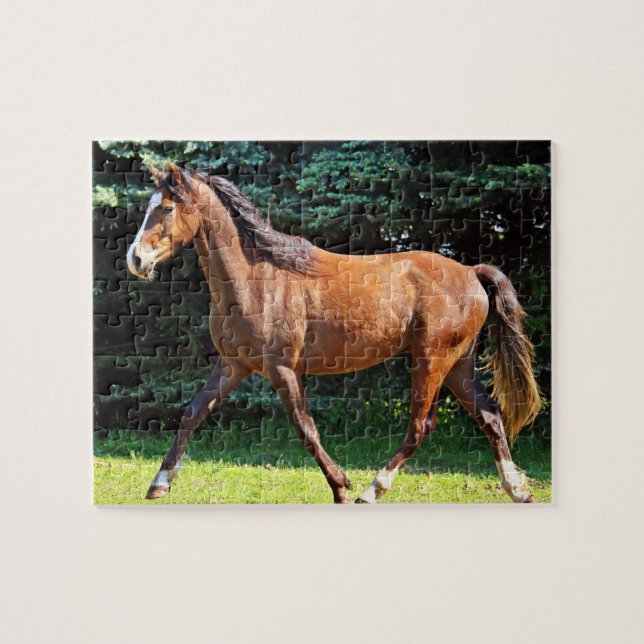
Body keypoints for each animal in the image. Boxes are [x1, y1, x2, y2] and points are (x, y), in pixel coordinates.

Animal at [126, 161, 541, 503]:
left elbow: (306, 429)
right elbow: (192, 413)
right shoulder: (234, 365)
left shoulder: (282, 368)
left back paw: (371, 492)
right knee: (490, 415)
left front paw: (341, 487)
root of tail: (471, 273)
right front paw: (159, 483)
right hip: (458, 364)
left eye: (166, 208)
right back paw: (517, 490)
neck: (257, 279)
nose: (136, 259)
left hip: (431, 362)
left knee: (421, 426)